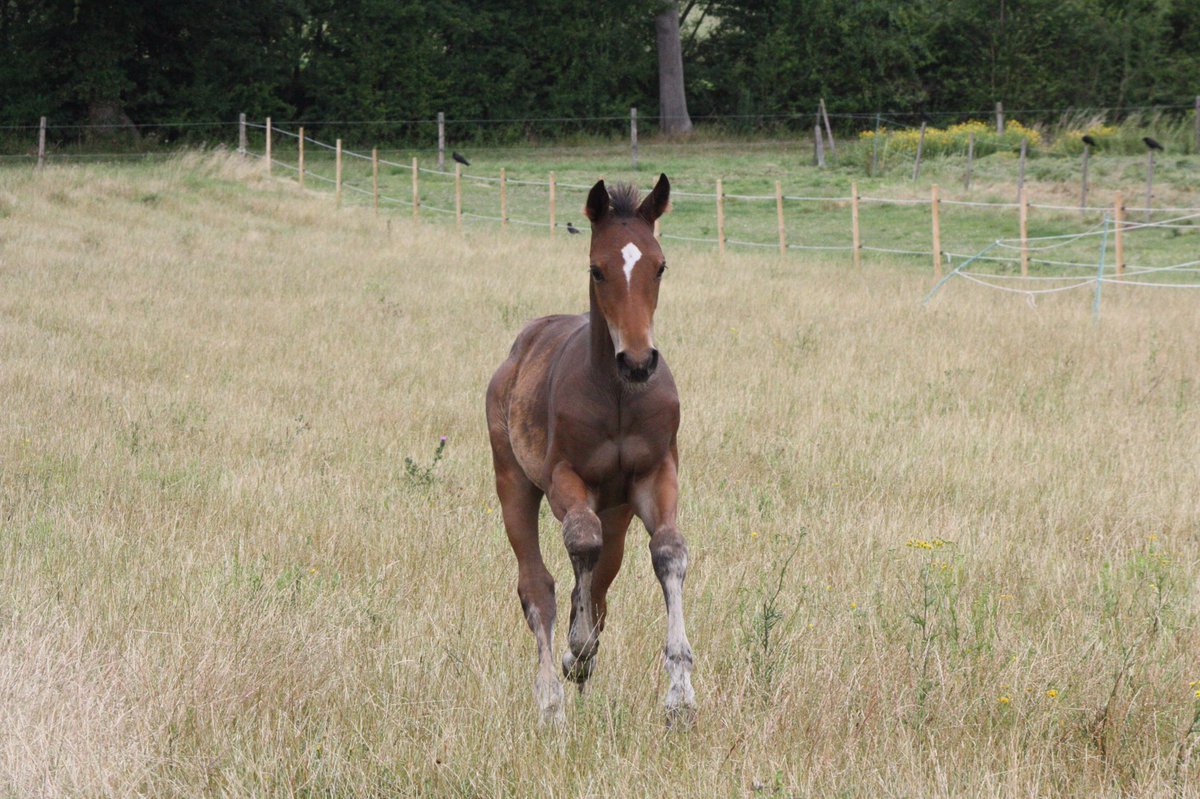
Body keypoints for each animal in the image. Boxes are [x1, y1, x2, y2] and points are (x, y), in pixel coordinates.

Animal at [485, 174, 695, 725]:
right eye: (597, 269)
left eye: (660, 265)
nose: (639, 362)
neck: (618, 397)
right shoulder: (565, 478)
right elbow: (580, 541)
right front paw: (575, 650)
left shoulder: (656, 476)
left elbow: (668, 552)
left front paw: (680, 695)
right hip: (513, 481)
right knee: (538, 585)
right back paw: (552, 700)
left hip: (618, 510)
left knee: (602, 579)